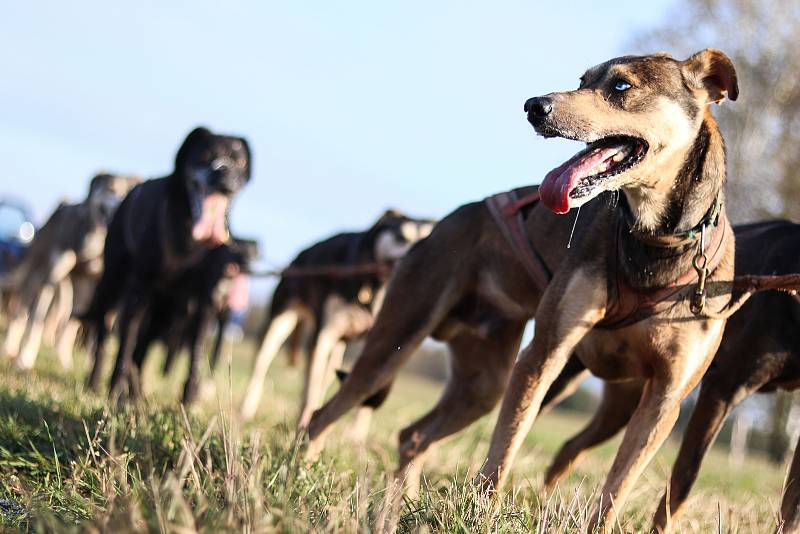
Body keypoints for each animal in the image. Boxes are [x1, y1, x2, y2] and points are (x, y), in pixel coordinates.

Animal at [86, 127, 252, 400]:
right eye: (206, 154)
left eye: (240, 162)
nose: (225, 176)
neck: (190, 243)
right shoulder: (139, 291)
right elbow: (125, 345)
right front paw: (117, 388)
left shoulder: (205, 302)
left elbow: (196, 352)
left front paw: (189, 396)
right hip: (113, 285)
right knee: (104, 334)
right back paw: (97, 380)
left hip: (166, 311)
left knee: (143, 349)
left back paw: (136, 391)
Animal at [306, 48, 736, 532]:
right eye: (582, 80)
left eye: (621, 85)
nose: (534, 106)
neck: (654, 245)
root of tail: (441, 225)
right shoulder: (544, 353)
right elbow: (503, 452)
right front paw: (482, 515)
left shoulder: (665, 397)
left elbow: (616, 489)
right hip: (397, 341)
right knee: (322, 416)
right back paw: (299, 472)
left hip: (483, 383)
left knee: (412, 434)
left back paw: (398, 504)